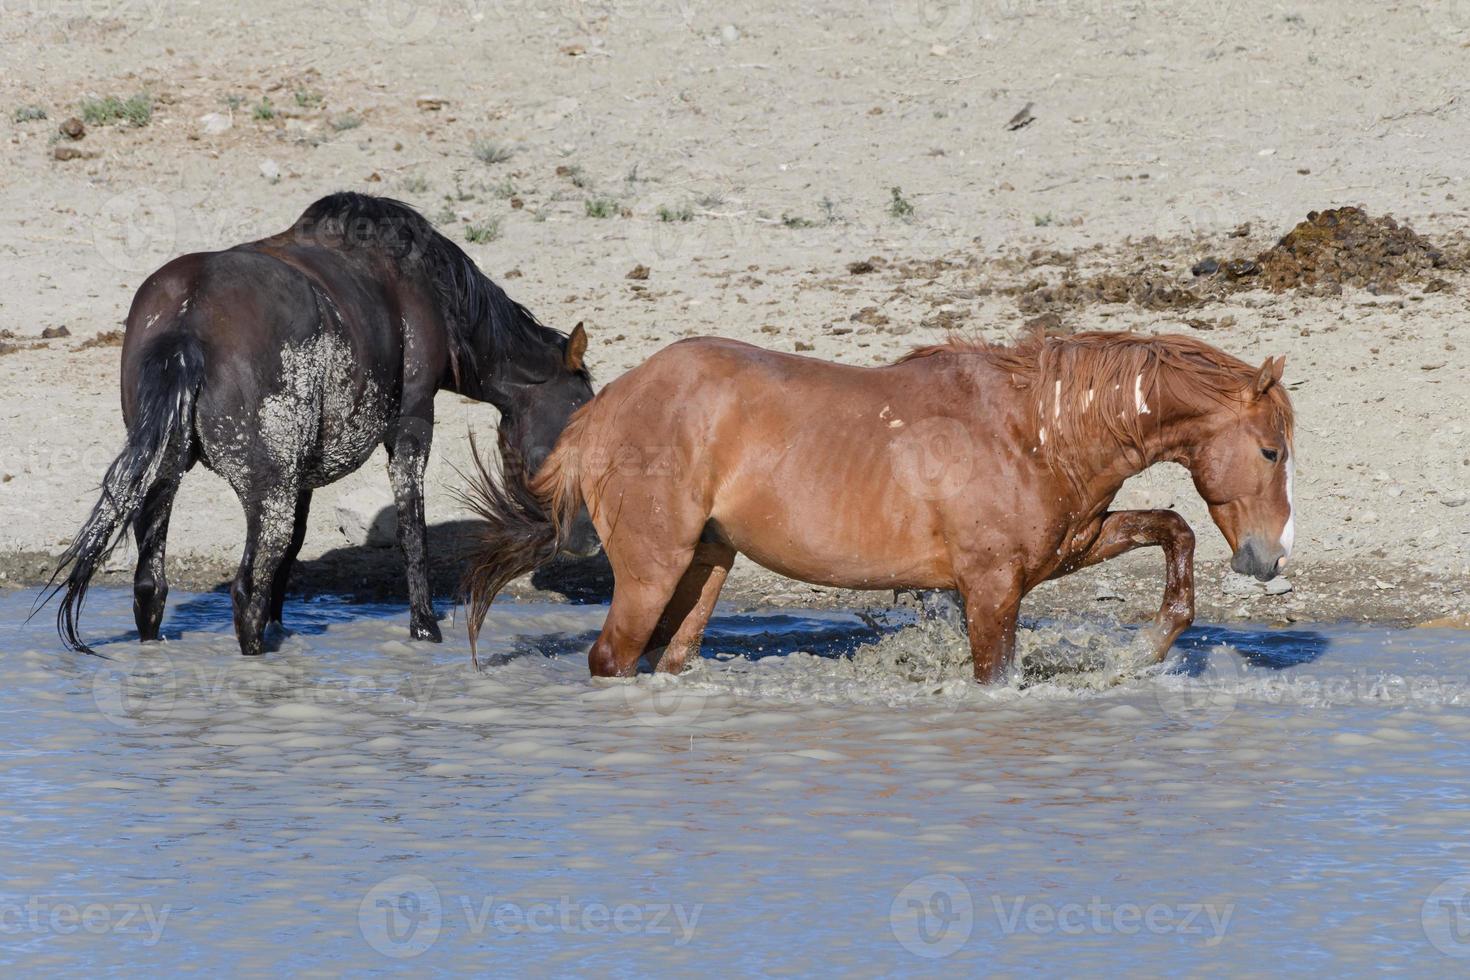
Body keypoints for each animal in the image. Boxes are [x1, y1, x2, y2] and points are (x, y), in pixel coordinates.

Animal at [47, 192, 596, 658]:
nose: (590, 539)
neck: (427, 289)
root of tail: (187, 318)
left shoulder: (304, 467)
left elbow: (297, 544)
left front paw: (283, 623)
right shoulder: (412, 425)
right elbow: (413, 530)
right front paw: (424, 626)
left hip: (165, 476)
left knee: (151, 585)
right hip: (266, 485)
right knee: (246, 588)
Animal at [464, 329, 1293, 681]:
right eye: (1271, 451)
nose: (1270, 558)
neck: (1036, 429)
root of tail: (602, 413)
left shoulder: (1063, 552)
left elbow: (1175, 532)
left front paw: (1149, 647)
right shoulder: (991, 587)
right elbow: (995, 675)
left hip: (704, 566)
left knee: (666, 657)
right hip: (651, 568)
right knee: (612, 659)